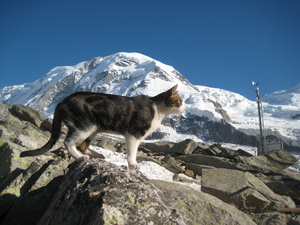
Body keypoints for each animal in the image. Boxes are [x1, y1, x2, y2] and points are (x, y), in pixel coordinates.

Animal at [19, 84, 185, 167]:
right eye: (179, 101)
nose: (184, 109)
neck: (158, 111)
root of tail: (62, 101)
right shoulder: (133, 133)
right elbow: (132, 152)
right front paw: (133, 164)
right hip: (86, 125)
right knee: (68, 142)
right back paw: (80, 158)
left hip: (94, 128)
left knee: (82, 145)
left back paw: (97, 155)